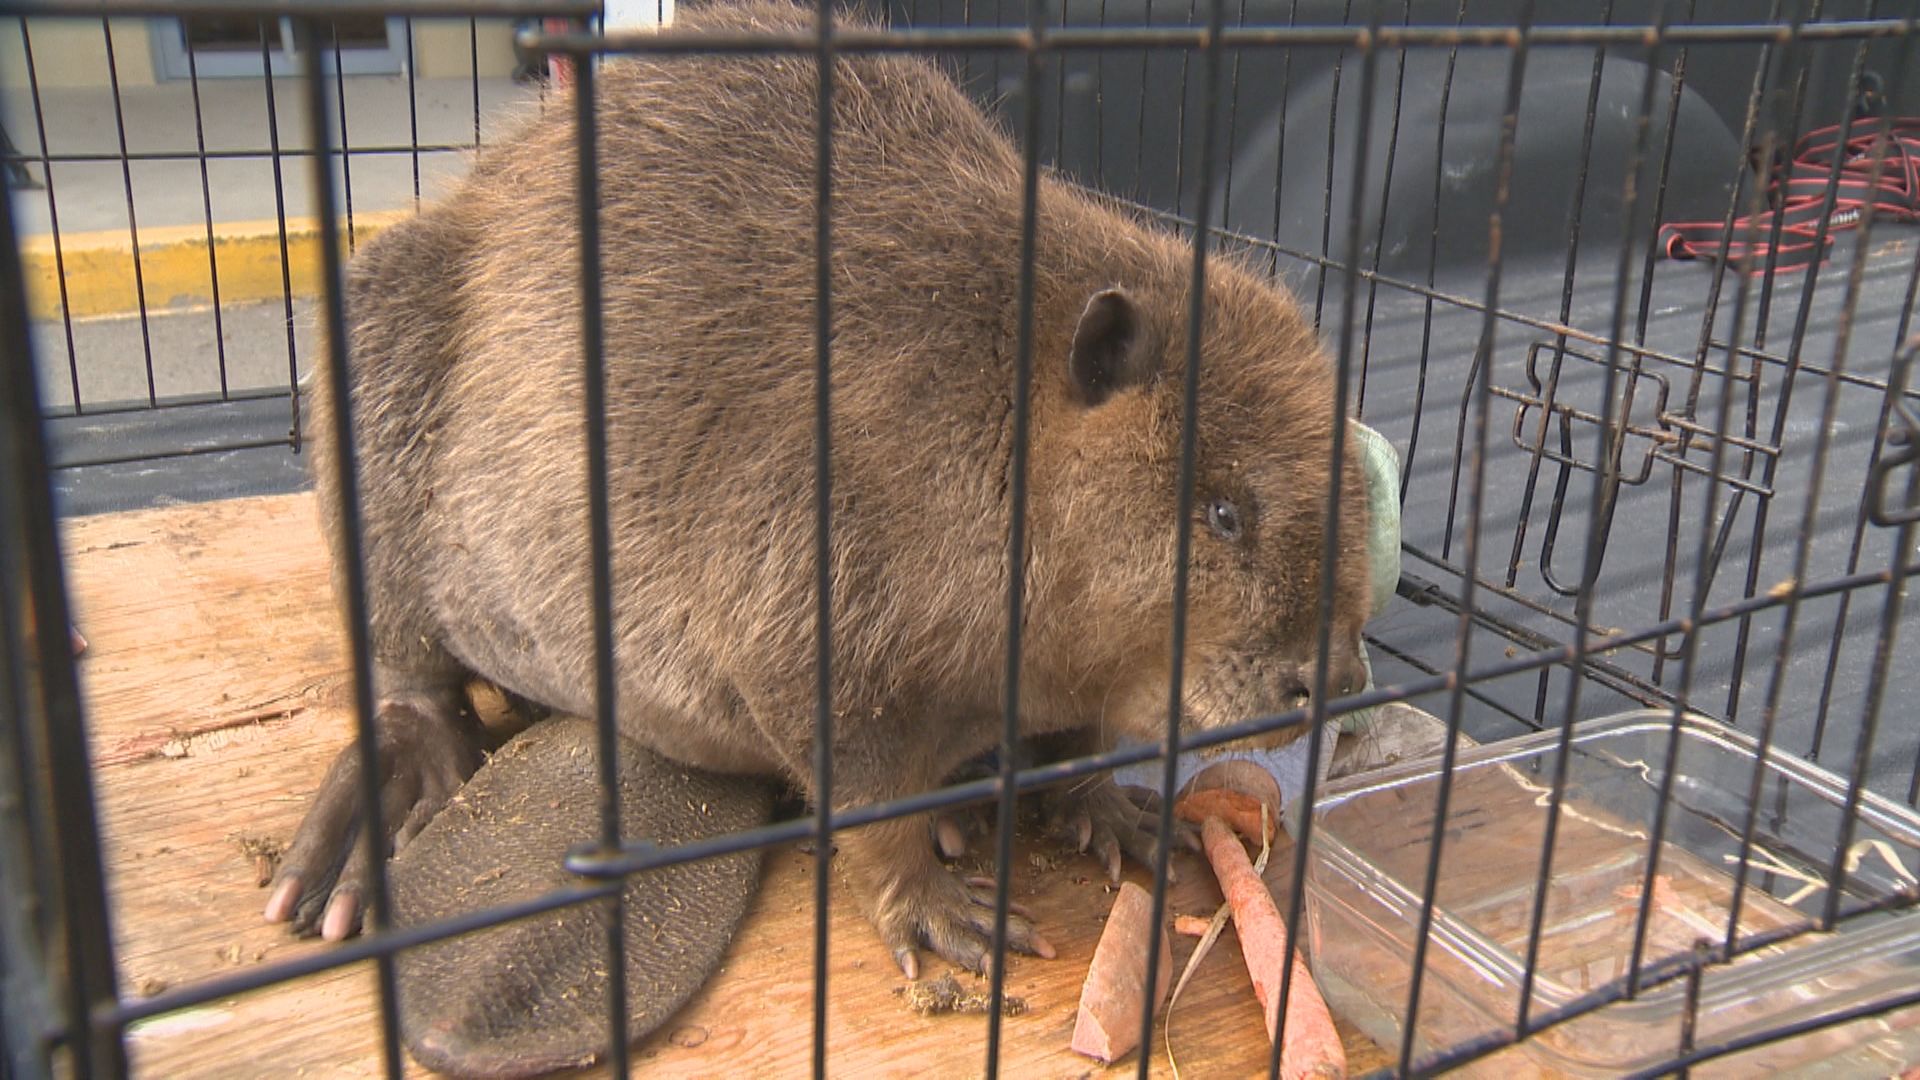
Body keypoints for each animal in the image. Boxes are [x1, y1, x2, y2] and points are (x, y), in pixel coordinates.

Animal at [270, 0, 1374, 1060]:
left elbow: (1086, 733)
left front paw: (1127, 817)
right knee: (408, 664)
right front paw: (948, 915)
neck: (989, 385)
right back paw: (364, 838)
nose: (1328, 680)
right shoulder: (815, 536)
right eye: (1226, 510)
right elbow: (850, 761)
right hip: (380, 337)